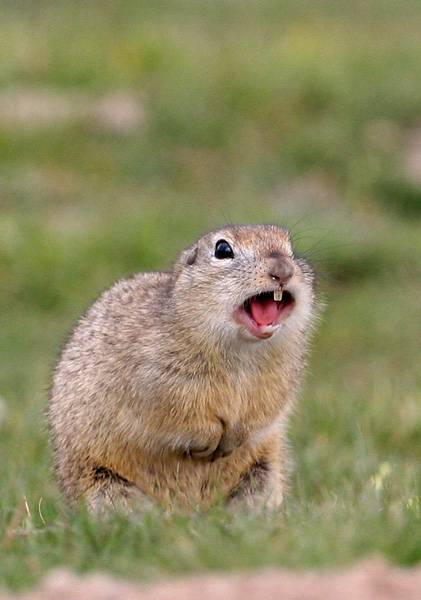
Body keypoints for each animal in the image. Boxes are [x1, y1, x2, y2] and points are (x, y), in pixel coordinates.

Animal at [47, 224, 314, 510]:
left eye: (290, 249)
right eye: (223, 249)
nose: (283, 270)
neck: (242, 351)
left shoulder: (282, 377)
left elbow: (266, 410)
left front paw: (234, 437)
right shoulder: (156, 376)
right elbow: (174, 411)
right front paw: (208, 439)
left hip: (261, 476)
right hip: (105, 484)